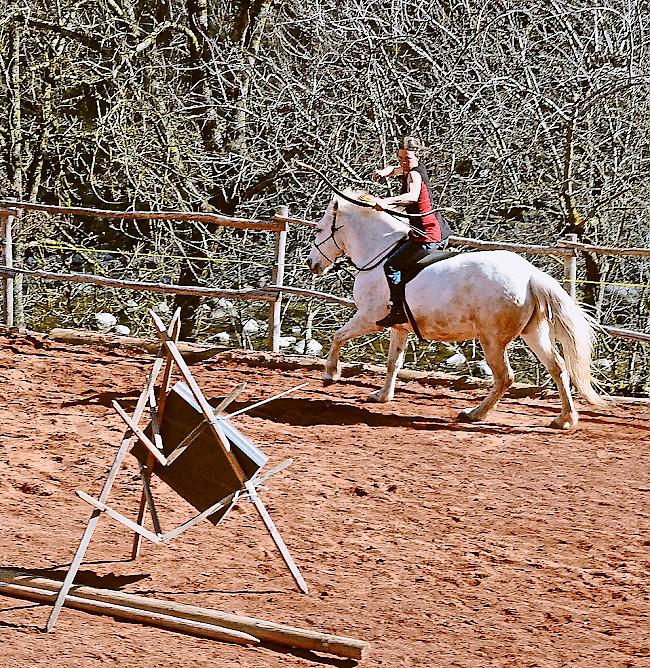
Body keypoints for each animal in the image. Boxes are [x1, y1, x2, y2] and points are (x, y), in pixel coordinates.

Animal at [306, 196, 604, 430]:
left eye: (319, 229)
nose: (312, 264)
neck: (379, 254)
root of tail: (530, 275)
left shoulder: (369, 318)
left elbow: (337, 336)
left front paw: (330, 375)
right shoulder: (398, 327)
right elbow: (394, 362)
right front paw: (382, 396)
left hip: (492, 341)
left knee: (505, 377)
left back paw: (474, 414)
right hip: (533, 333)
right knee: (558, 368)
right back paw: (565, 420)